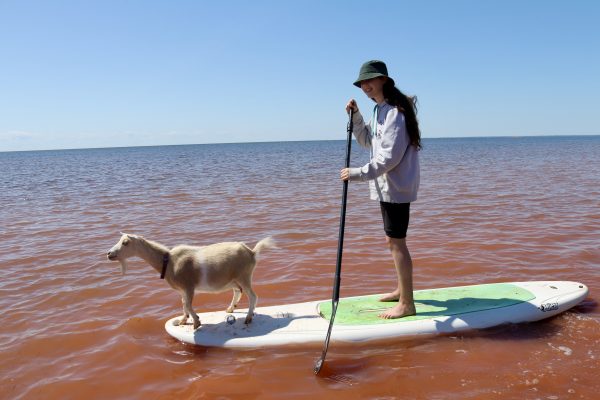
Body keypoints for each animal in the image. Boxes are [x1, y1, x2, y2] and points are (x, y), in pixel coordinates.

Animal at [106, 233, 276, 330]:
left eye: (125, 242)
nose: (109, 253)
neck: (168, 261)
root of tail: (252, 252)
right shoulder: (183, 289)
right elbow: (183, 303)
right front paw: (183, 320)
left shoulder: (189, 287)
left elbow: (187, 304)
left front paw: (196, 323)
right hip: (233, 279)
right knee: (237, 292)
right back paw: (230, 309)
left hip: (244, 276)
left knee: (252, 296)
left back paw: (248, 318)